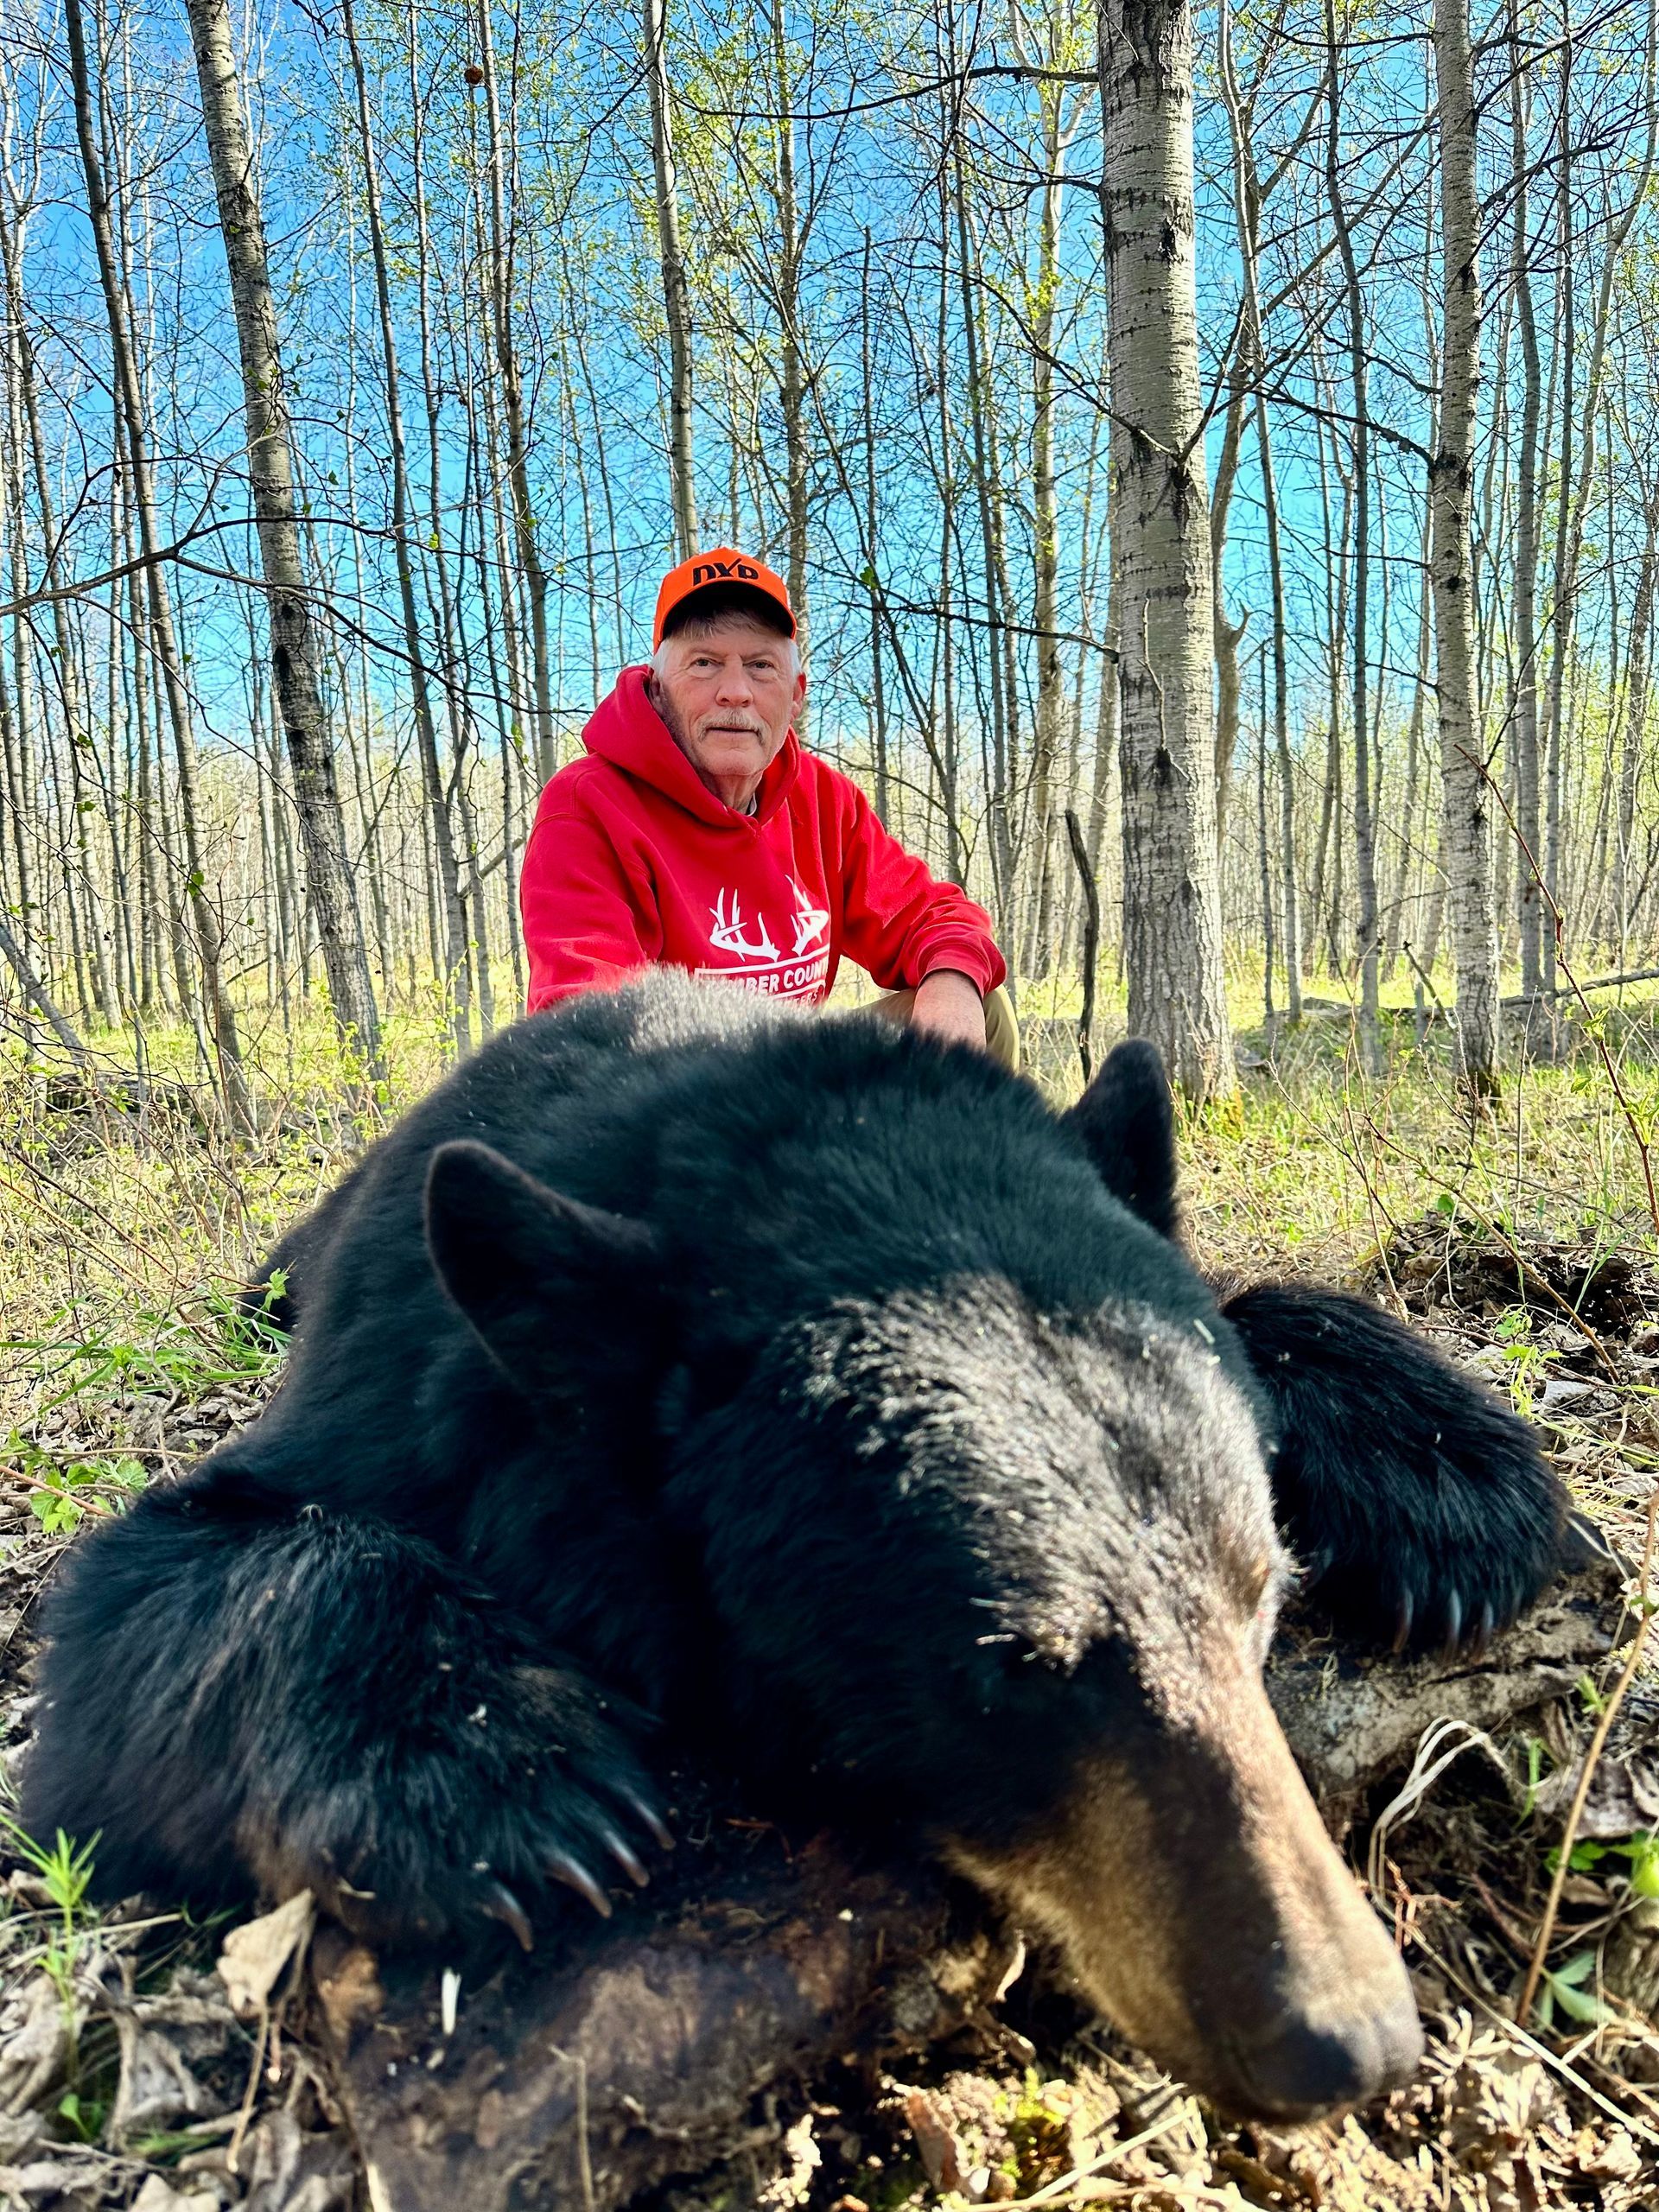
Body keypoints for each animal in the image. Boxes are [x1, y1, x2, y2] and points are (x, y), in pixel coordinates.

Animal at [22, 976, 1569, 2121]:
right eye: (1010, 1670)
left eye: (1262, 1600)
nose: (1349, 2039)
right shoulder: (399, 1391)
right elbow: (147, 1600)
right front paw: (502, 1779)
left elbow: (1242, 1307)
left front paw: (1449, 1482)